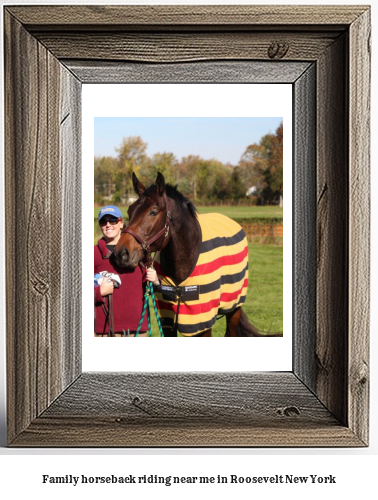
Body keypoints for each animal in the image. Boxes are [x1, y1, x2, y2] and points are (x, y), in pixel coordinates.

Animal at [112, 170, 278, 338]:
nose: (120, 254)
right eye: (130, 210)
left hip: (234, 305)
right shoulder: (168, 320)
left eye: (153, 212)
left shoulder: (202, 323)